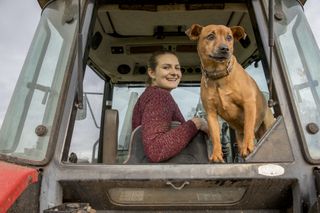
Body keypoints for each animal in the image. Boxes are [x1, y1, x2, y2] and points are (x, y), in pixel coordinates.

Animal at [185, 24, 276, 162]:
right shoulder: (211, 113)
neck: (218, 75)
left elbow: (248, 126)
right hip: (239, 135)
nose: (225, 49)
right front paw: (216, 154)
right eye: (210, 36)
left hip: (267, 126)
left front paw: (248, 146)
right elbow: (215, 136)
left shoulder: (248, 103)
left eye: (229, 37)